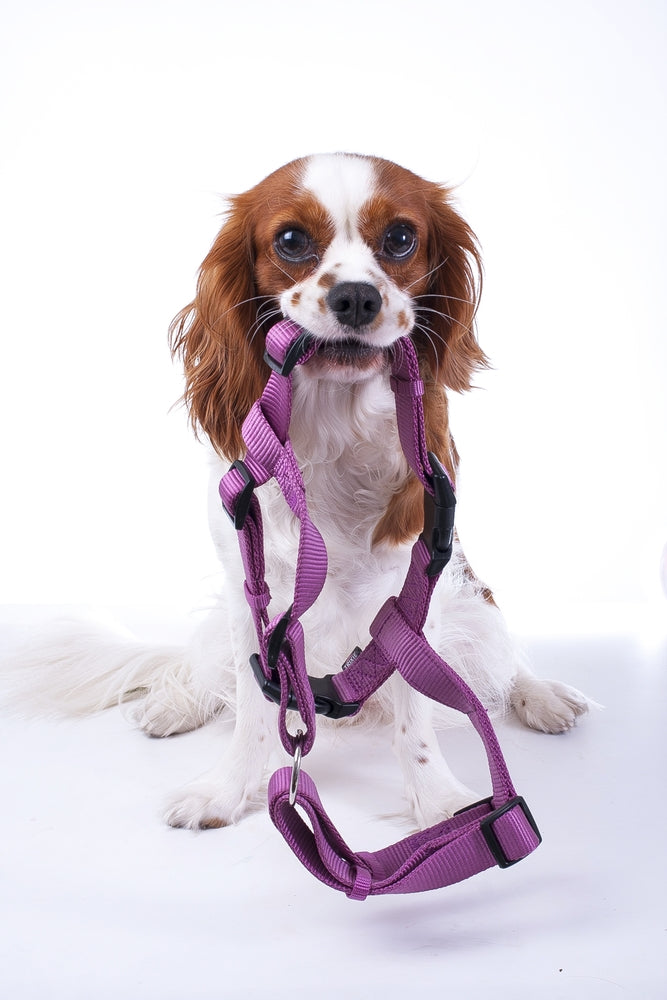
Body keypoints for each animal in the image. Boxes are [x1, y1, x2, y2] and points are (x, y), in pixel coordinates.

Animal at [5, 154, 588, 828]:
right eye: (290, 240)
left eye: (401, 238)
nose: (356, 296)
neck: (335, 423)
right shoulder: (250, 592)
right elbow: (254, 711)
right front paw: (226, 789)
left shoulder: (415, 595)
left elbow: (416, 718)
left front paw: (440, 804)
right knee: (210, 673)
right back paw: (175, 704)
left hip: (473, 598)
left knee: (502, 660)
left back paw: (542, 695)